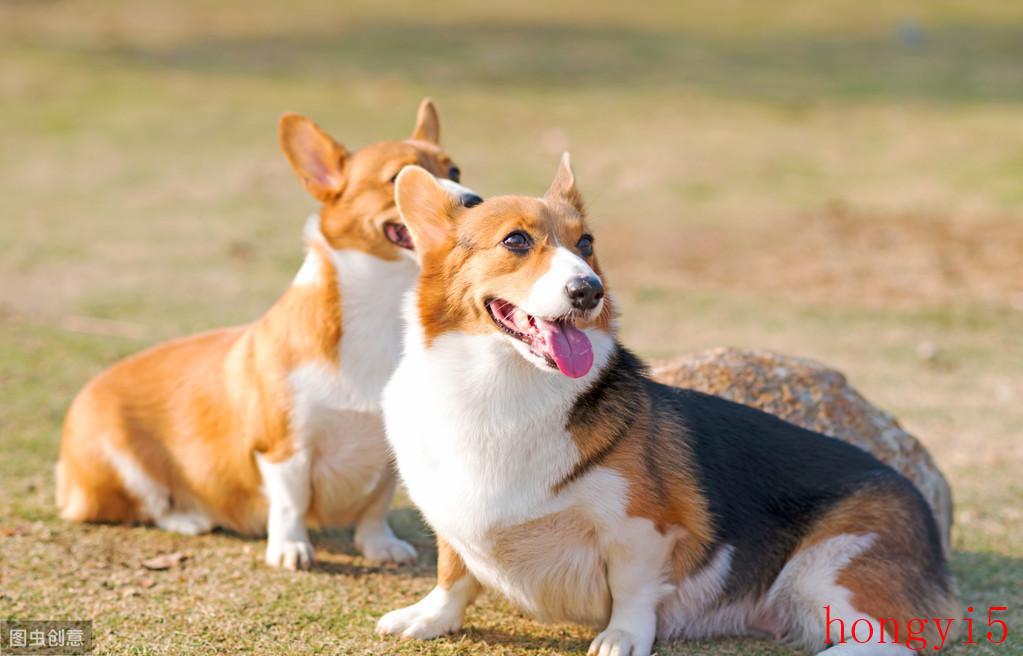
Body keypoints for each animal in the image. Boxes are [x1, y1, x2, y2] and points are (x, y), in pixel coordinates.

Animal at [58, 98, 480, 569]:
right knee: (148, 505)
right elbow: (290, 504)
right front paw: (291, 549)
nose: (474, 201)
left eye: (455, 170)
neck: (379, 309)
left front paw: (380, 546)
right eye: (398, 177)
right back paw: (188, 518)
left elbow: (376, 505)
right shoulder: (284, 450)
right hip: (122, 469)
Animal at [378, 158, 957, 654]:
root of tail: (923, 504)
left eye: (586, 243)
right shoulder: (452, 520)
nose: (589, 290)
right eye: (516, 241)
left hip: (827, 570)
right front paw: (428, 618)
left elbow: (633, 590)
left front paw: (621, 638)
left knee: (894, 640)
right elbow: (453, 574)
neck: (498, 388)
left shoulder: (641, 528)